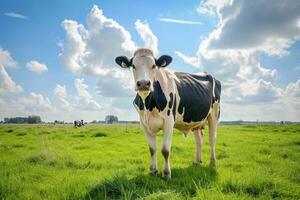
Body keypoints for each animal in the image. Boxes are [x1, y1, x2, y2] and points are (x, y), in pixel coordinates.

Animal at [115, 48, 220, 180]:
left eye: (154, 65)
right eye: (133, 65)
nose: (143, 83)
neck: (149, 104)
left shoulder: (169, 121)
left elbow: (165, 150)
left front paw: (166, 174)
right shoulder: (144, 123)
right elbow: (152, 149)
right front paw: (153, 171)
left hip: (214, 114)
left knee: (212, 139)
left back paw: (213, 162)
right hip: (196, 120)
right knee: (199, 140)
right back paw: (197, 161)